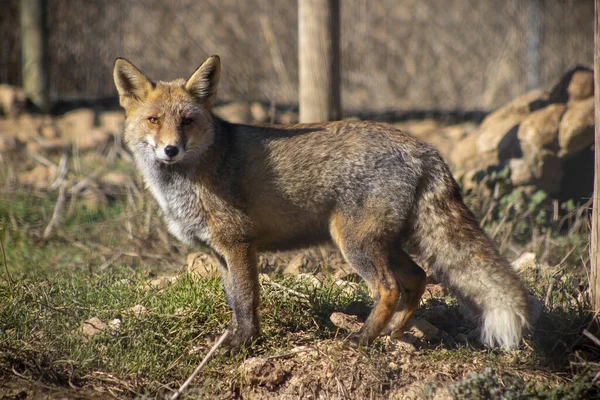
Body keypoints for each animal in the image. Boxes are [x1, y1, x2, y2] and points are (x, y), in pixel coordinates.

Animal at [112, 55, 528, 350]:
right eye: (153, 120)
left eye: (187, 121)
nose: (170, 150)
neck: (187, 180)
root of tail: (423, 148)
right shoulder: (220, 253)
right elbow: (234, 301)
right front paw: (236, 338)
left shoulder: (239, 244)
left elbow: (246, 300)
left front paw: (243, 344)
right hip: (384, 243)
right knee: (418, 277)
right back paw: (394, 335)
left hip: (355, 244)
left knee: (390, 288)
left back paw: (362, 340)